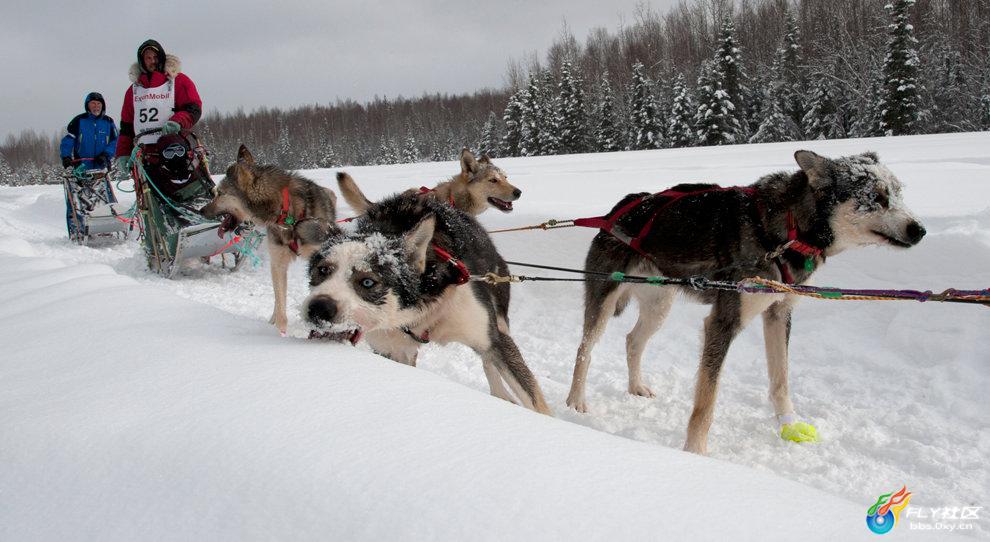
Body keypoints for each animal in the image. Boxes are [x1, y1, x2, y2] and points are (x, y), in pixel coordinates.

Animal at [203, 147, 340, 338]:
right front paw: (280, 335)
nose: (201, 210)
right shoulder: (278, 263)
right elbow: (281, 305)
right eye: (215, 193)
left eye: (221, 193)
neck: (288, 215)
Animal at [302, 192, 556, 416]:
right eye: (322, 270)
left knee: (490, 360)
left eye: (367, 281)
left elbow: (534, 400)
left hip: (499, 321)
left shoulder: (490, 337)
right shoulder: (388, 349)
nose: (319, 308)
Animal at [564, 151, 928, 456]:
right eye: (876, 198)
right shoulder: (722, 322)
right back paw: (575, 401)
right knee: (584, 349)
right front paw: (695, 452)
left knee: (632, 341)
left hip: (659, 306)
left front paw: (789, 424)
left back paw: (636, 385)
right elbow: (706, 401)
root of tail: (617, 210)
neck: (787, 229)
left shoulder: (779, 314)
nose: (920, 229)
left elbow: (781, 380)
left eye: (898, 193)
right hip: (604, 301)